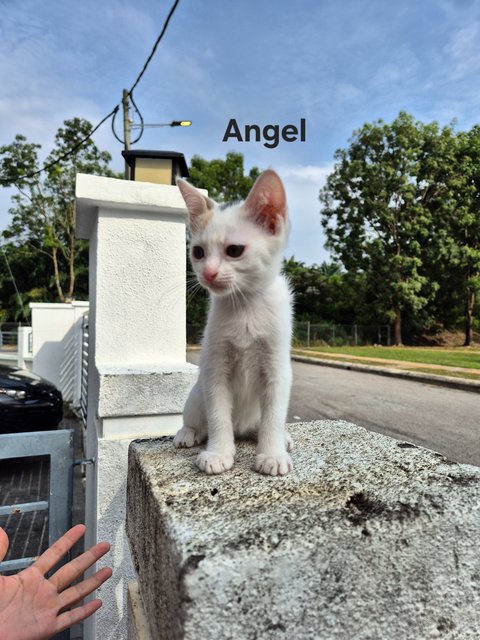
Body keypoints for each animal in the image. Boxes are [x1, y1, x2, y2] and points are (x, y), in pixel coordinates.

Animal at [172, 170, 292, 476]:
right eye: (198, 252)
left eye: (234, 250)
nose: (209, 273)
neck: (245, 306)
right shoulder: (215, 368)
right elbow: (218, 415)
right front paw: (218, 453)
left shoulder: (277, 367)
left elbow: (274, 415)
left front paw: (272, 453)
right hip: (196, 395)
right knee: (197, 418)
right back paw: (187, 433)